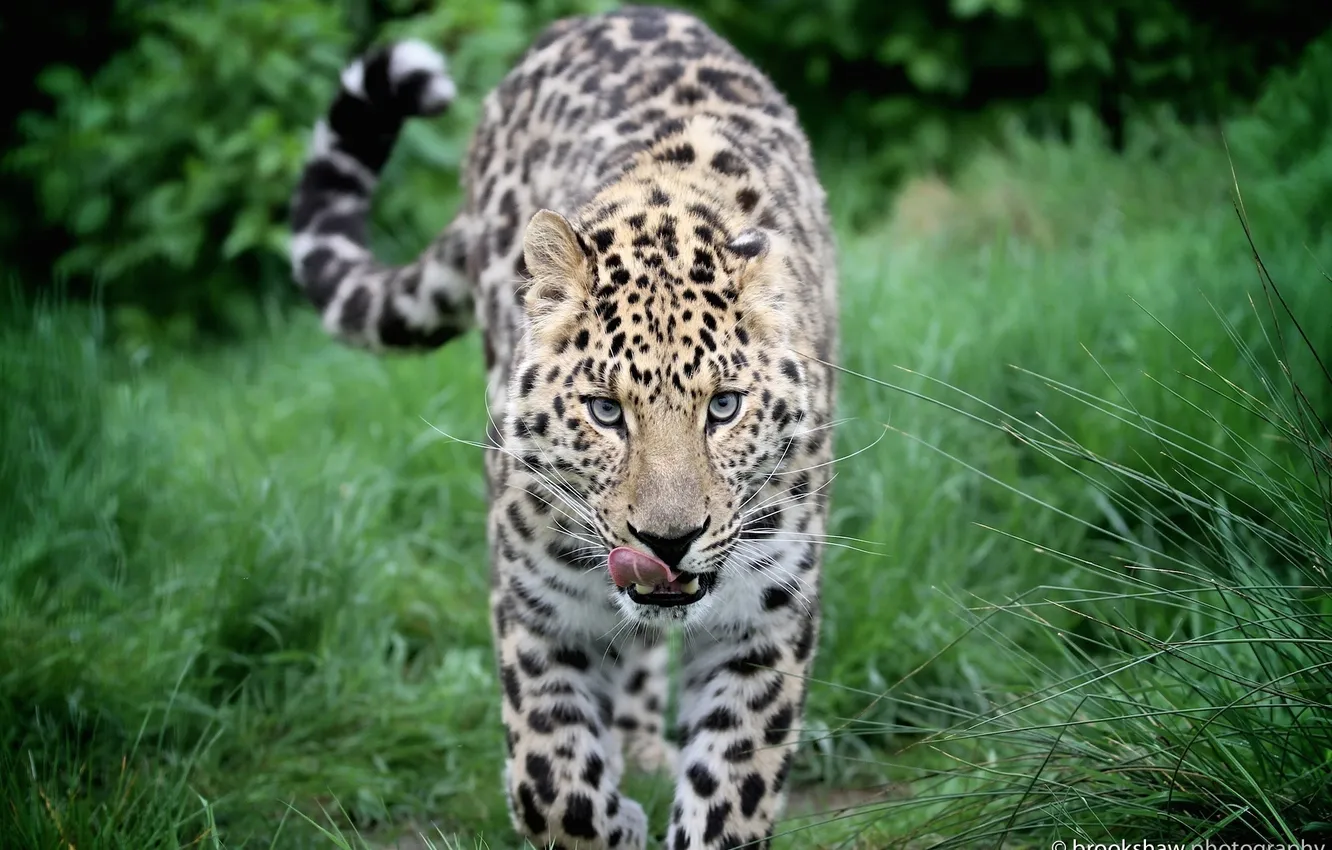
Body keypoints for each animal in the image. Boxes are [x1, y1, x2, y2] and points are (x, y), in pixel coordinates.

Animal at [288, 6, 838, 848]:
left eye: (724, 408)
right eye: (606, 412)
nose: (668, 541)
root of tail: (604, 14)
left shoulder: (764, 618)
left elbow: (730, 796)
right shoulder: (538, 607)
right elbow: (552, 784)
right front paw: (620, 821)